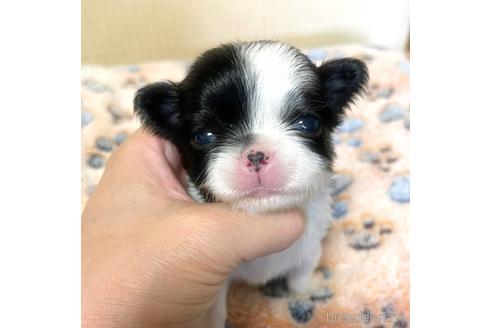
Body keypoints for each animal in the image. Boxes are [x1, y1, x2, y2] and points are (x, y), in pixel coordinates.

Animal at [133, 40, 368, 326]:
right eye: (203, 136)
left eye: (309, 124)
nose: (256, 155)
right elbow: (214, 311)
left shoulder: (310, 245)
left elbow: (301, 274)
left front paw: (306, 291)